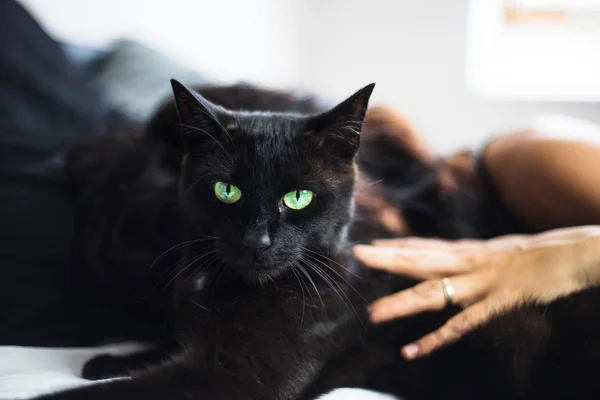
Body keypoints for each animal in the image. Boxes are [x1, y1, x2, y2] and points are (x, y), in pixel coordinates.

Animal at [35, 81, 600, 400]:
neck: (219, 286)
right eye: (226, 190)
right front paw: (108, 360)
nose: (259, 239)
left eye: (299, 197)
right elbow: (165, 345)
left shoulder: (240, 378)